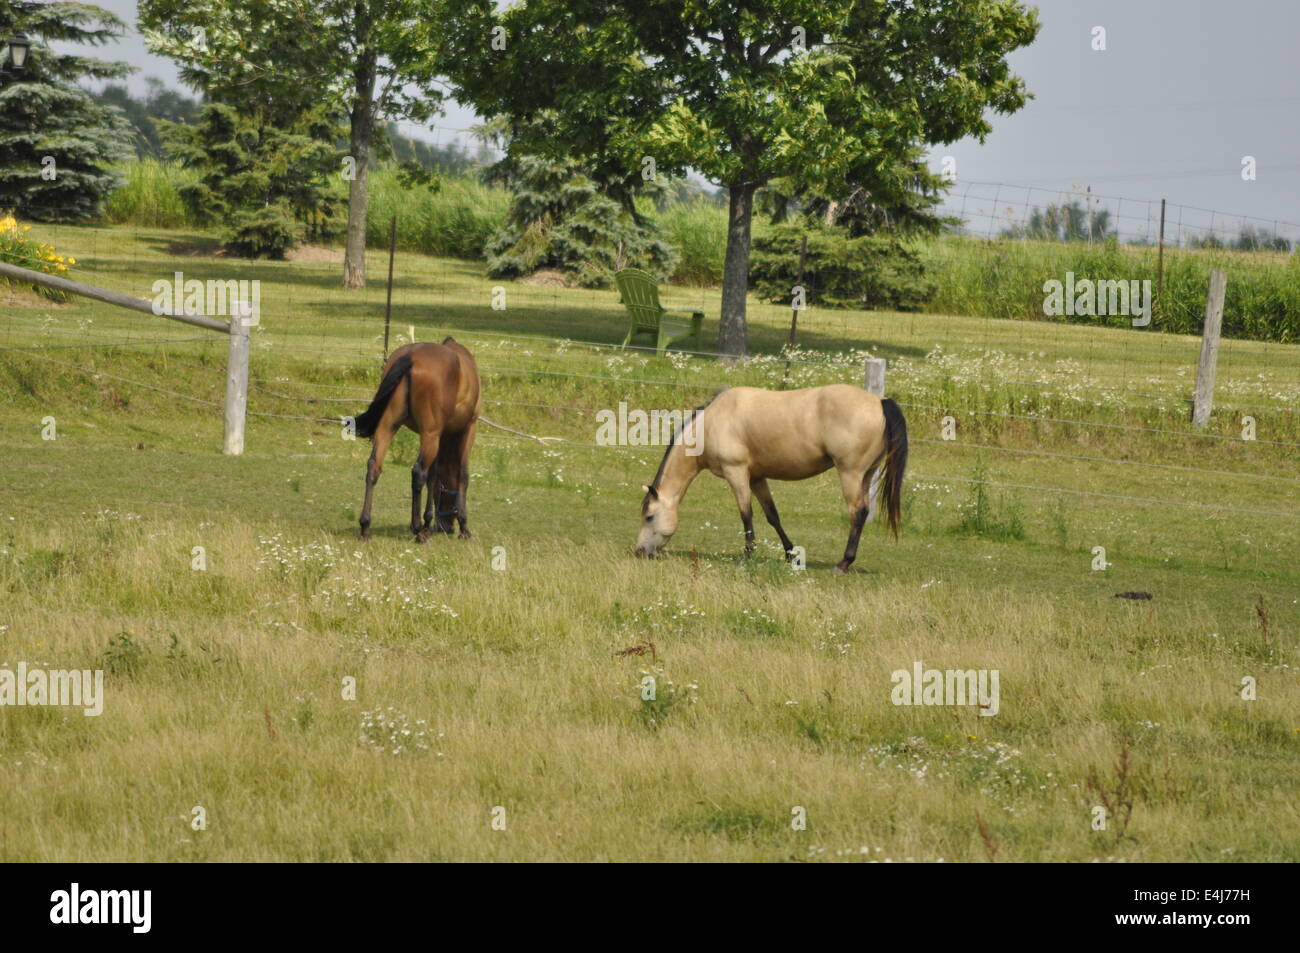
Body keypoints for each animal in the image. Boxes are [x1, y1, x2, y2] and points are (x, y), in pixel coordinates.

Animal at [353, 338, 480, 538]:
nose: (445, 527)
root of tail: (410, 356)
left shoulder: (439, 436)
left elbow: (433, 476)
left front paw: (428, 520)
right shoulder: (468, 428)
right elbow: (462, 475)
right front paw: (463, 526)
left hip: (388, 428)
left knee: (374, 466)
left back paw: (366, 527)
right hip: (430, 433)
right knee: (418, 472)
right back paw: (418, 529)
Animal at [634, 384, 909, 572]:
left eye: (649, 517)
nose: (639, 551)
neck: (712, 423)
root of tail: (880, 401)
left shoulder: (736, 473)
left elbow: (746, 514)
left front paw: (747, 554)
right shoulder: (757, 477)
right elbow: (772, 515)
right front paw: (791, 555)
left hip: (850, 474)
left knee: (858, 512)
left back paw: (844, 562)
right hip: (866, 475)